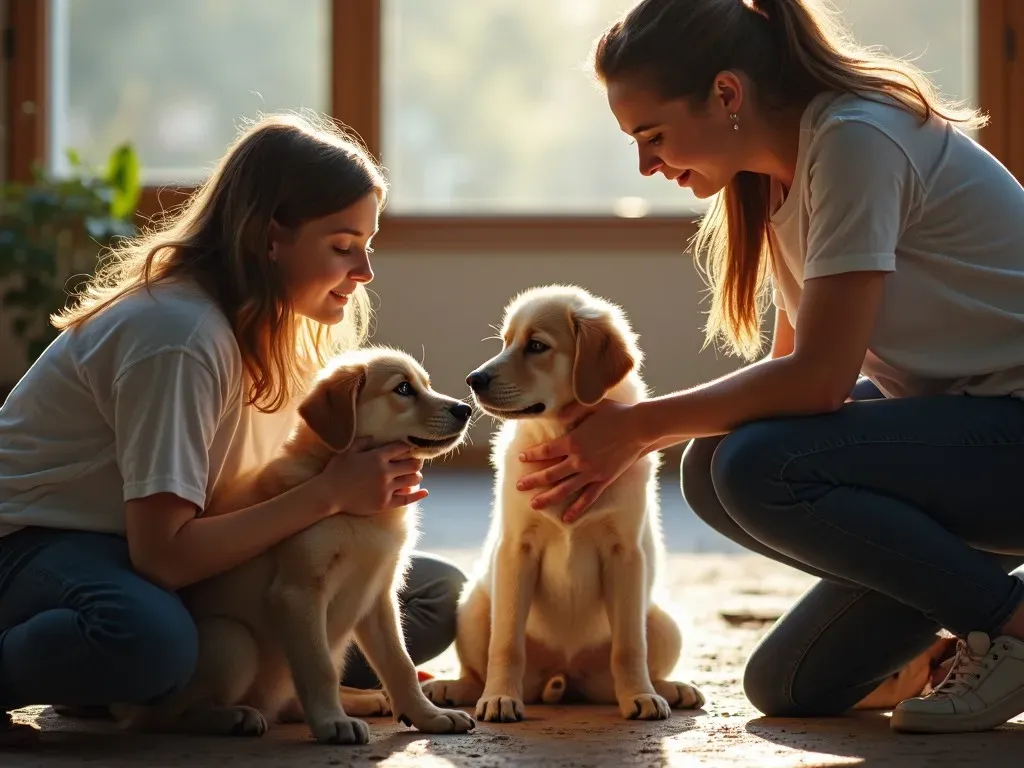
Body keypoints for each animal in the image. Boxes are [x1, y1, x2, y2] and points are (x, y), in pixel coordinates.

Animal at [110, 348, 477, 745]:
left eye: (426, 384)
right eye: (404, 388)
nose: (464, 409)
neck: (359, 513)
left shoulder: (378, 596)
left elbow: (401, 664)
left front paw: (429, 716)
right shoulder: (298, 591)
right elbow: (319, 669)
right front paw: (332, 723)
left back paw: (360, 700)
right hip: (234, 641)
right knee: (163, 718)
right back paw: (235, 717)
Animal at [421, 286, 704, 724]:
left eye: (537, 346)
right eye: (505, 342)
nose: (473, 380)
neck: (559, 433)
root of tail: (562, 675)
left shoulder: (625, 554)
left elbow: (629, 647)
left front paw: (640, 696)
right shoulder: (516, 550)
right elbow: (506, 643)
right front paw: (500, 698)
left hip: (663, 623)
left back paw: (669, 689)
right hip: (472, 608)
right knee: (477, 667)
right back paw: (454, 688)